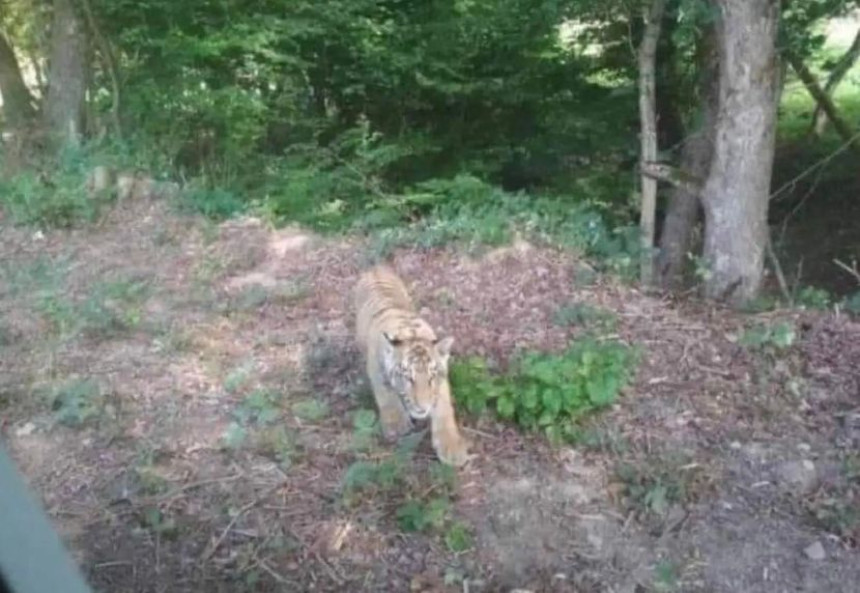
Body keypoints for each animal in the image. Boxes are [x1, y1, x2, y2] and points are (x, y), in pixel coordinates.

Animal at [352, 264, 470, 468]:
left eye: (431, 378)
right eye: (408, 378)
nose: (422, 408)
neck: (410, 333)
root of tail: (375, 267)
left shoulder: (441, 383)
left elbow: (444, 410)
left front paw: (451, 447)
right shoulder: (376, 369)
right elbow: (386, 394)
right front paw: (397, 424)